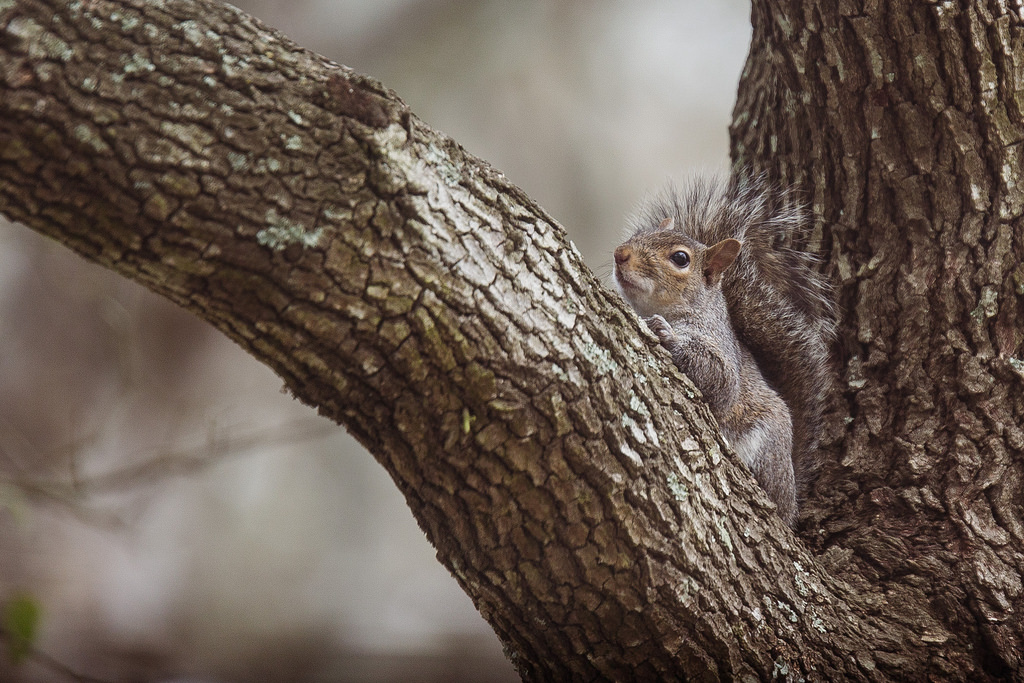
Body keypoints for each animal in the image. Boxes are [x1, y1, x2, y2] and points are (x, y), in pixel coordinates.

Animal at [610, 174, 835, 528]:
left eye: (680, 259)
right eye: (638, 236)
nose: (620, 253)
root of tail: (791, 503)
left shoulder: (720, 348)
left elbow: (721, 381)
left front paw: (668, 335)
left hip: (767, 442)